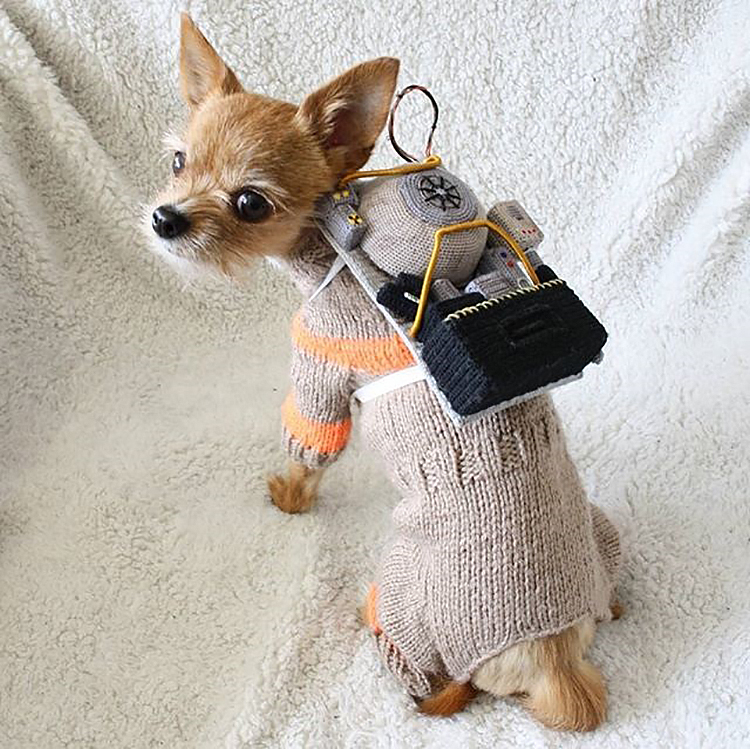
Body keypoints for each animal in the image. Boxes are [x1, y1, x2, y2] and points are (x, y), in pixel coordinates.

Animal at [148, 16, 624, 732]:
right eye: (179, 162)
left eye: (251, 203)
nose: (165, 218)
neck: (332, 256)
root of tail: (556, 666)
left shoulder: (319, 371)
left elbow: (310, 449)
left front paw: (290, 498)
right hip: (605, 536)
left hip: (403, 590)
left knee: (431, 675)